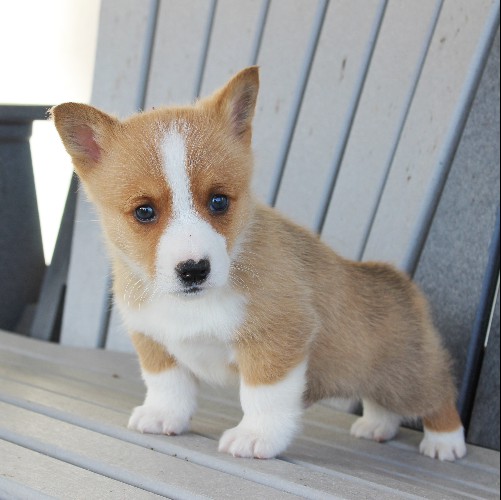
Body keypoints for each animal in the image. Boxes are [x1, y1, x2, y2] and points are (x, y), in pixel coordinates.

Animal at [50, 65, 464, 460]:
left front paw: (255, 438)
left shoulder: (277, 339)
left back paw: (446, 442)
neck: (195, 304)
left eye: (218, 201)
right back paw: (377, 426)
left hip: (408, 377)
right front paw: (163, 417)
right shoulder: (153, 340)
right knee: (383, 403)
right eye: (144, 211)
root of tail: (397, 281)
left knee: (439, 393)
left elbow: (263, 398)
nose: (194, 269)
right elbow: (168, 385)